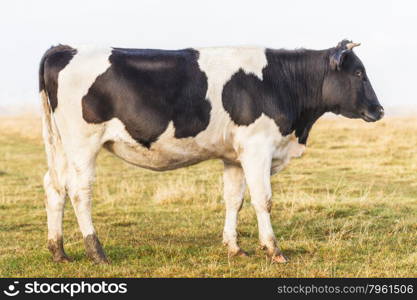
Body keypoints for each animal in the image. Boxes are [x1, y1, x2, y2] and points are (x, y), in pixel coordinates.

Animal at [39, 39, 384, 262]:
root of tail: (65, 49)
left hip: (59, 144)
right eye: (358, 73)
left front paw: (234, 247)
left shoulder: (235, 156)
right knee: (80, 191)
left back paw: (59, 251)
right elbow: (263, 200)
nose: (379, 110)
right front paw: (273, 250)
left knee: (54, 187)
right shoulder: (257, 148)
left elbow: (235, 199)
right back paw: (96, 252)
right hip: (83, 142)